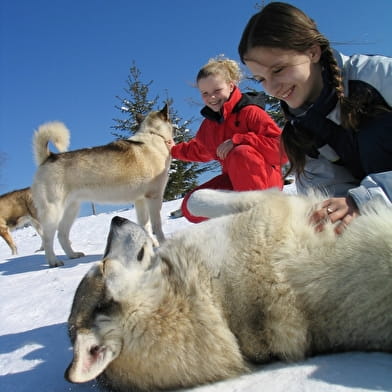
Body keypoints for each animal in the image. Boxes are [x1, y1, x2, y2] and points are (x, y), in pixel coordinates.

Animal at [30, 105, 172, 268]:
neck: (154, 135)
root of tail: (49, 157)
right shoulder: (154, 197)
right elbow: (157, 225)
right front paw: (163, 244)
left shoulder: (140, 200)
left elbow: (145, 225)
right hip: (53, 212)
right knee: (47, 239)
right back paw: (54, 262)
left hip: (71, 210)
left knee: (62, 235)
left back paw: (73, 255)